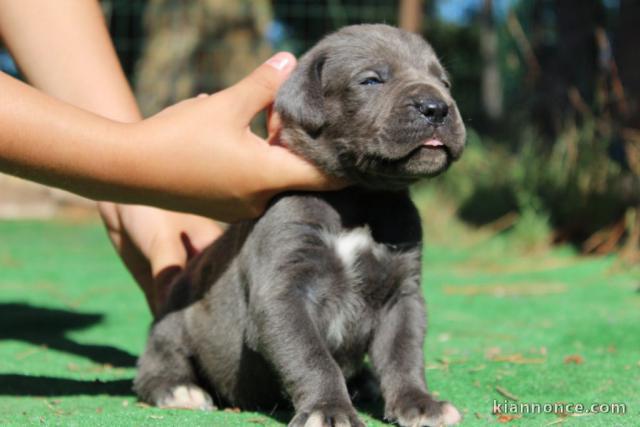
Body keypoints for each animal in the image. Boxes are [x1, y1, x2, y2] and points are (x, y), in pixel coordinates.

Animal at [135, 24, 464, 427]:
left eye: (444, 83)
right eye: (371, 80)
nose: (437, 107)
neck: (360, 198)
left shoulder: (401, 295)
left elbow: (404, 352)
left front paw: (419, 403)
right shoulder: (284, 291)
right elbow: (312, 356)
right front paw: (329, 409)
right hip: (177, 318)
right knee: (157, 360)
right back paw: (177, 389)